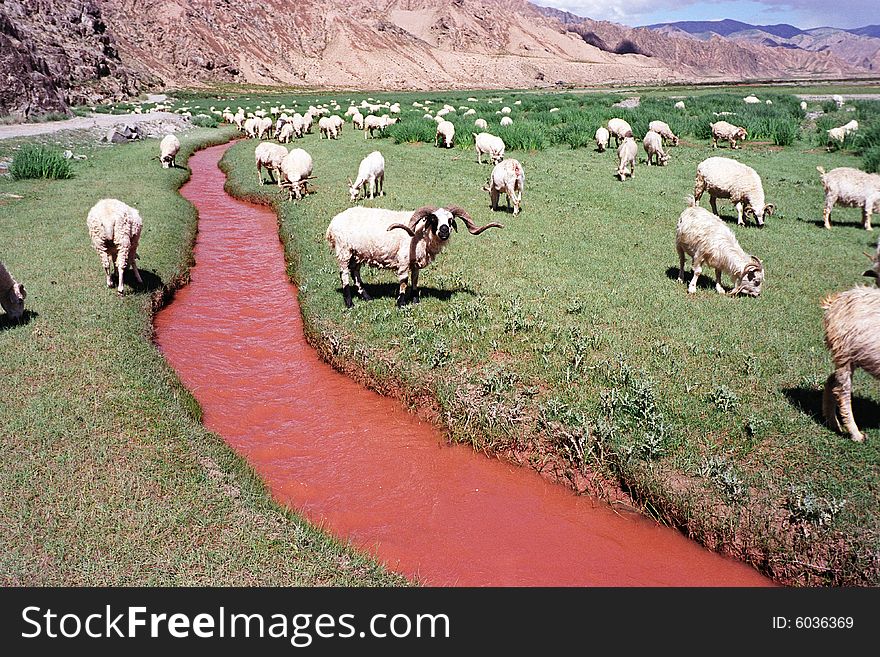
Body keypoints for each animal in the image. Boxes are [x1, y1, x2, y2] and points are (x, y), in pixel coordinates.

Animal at [324, 205, 506, 308]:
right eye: (433, 218)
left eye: (450, 219)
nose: (444, 231)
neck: (421, 233)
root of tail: (333, 223)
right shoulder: (404, 260)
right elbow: (404, 281)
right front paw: (401, 303)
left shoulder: (416, 263)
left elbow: (415, 279)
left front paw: (415, 300)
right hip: (344, 250)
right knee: (344, 273)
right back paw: (349, 303)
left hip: (358, 253)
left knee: (355, 272)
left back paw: (367, 297)